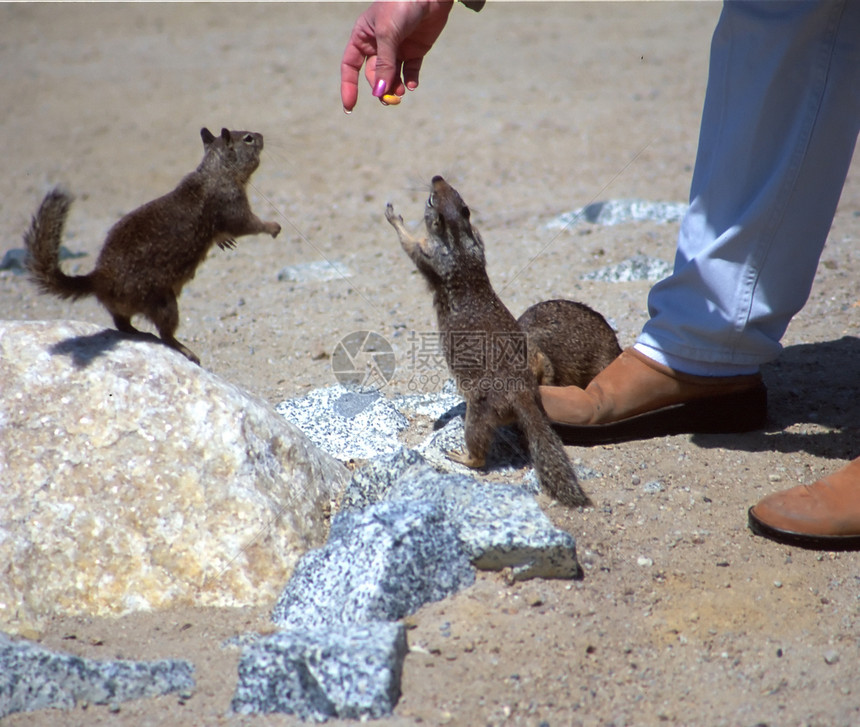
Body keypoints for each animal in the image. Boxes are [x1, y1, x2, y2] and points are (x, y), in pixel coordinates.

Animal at [25, 126, 280, 364]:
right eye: (248, 139)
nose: (261, 136)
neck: (215, 171)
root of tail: (100, 278)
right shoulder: (231, 204)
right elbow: (248, 224)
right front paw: (273, 226)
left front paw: (223, 240)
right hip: (164, 303)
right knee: (165, 334)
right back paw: (183, 349)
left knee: (121, 323)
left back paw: (138, 332)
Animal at [388, 175, 592, 506]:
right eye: (457, 197)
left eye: (431, 200)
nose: (436, 178)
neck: (459, 240)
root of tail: (523, 394)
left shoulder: (428, 253)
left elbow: (408, 243)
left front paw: (394, 216)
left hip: (478, 414)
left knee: (479, 455)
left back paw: (461, 456)